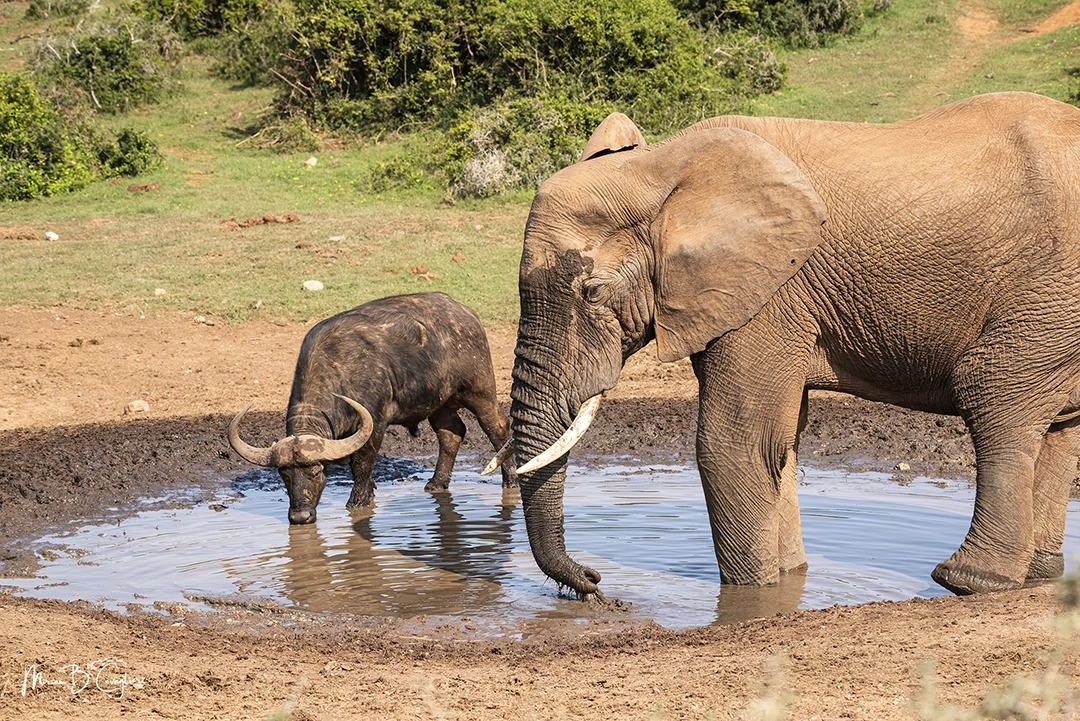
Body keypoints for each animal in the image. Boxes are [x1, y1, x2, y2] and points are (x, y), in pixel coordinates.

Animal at [497, 91, 1080, 600]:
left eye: (590, 292)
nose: (595, 584)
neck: (660, 170)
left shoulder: (771, 292)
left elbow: (735, 443)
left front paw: (752, 596)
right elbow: (781, 443)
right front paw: (790, 581)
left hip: (1047, 295)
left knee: (995, 398)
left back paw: (970, 581)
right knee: (1058, 428)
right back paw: (1037, 575)